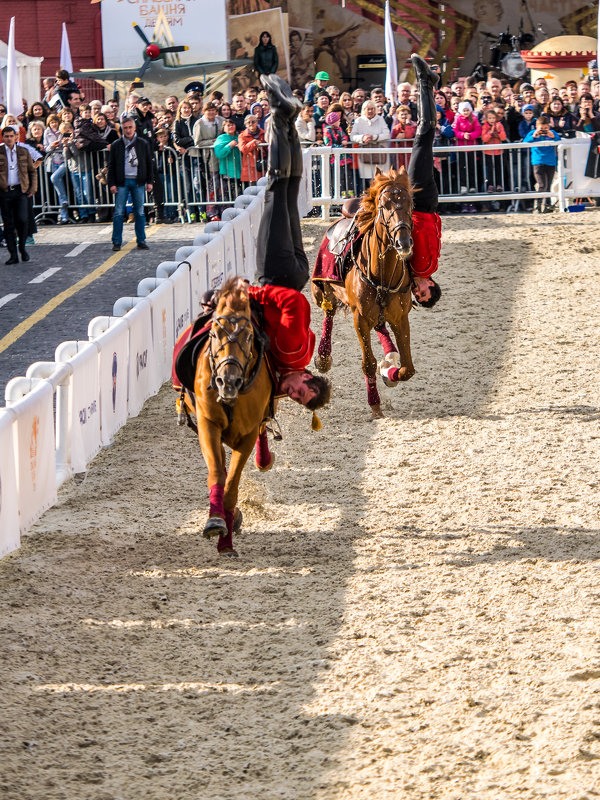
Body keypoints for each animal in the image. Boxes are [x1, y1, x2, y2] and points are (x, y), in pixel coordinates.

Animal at [191, 278, 274, 560]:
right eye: (215, 334)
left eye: (249, 336)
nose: (228, 381)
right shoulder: (208, 424)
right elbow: (218, 474)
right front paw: (215, 520)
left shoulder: (246, 434)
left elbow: (231, 486)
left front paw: (225, 542)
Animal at [312, 166, 414, 422]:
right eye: (384, 205)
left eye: (409, 202)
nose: (403, 242)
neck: (381, 274)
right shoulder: (359, 318)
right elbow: (368, 363)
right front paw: (375, 404)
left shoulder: (401, 317)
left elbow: (407, 368)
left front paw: (389, 371)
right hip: (322, 290)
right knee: (329, 313)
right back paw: (323, 356)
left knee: (380, 326)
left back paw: (389, 355)